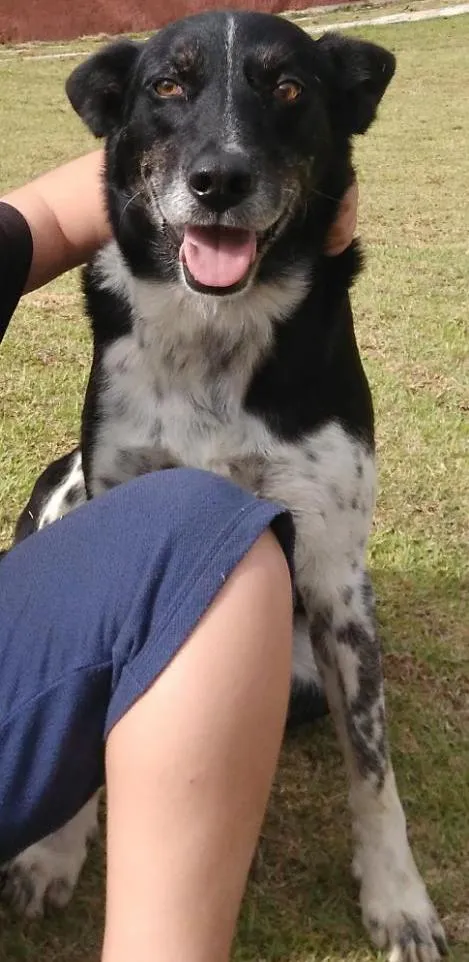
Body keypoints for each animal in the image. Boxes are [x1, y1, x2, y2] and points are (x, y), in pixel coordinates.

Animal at [0, 11, 446, 956]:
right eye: (167, 85)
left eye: (289, 88)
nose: (218, 180)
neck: (214, 332)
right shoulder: (116, 496)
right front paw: (55, 853)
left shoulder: (337, 577)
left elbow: (372, 763)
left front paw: (398, 898)